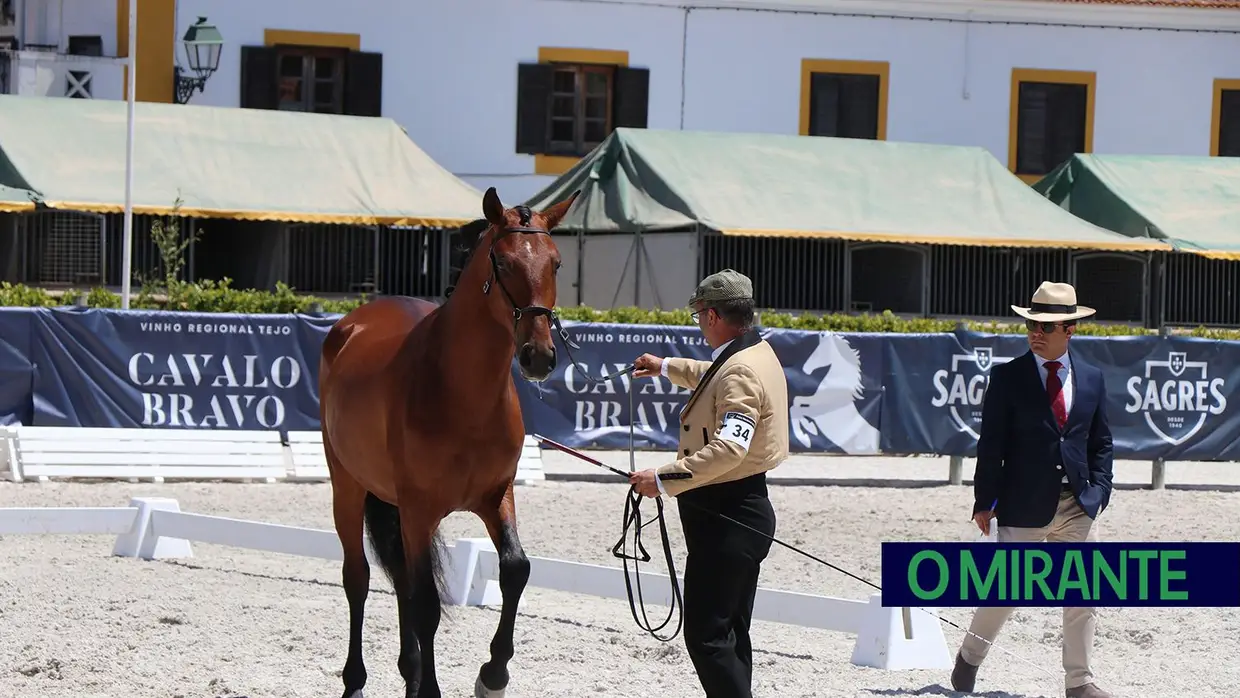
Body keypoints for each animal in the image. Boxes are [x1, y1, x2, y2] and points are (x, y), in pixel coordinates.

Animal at [322, 187, 582, 698]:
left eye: (557, 263)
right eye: (503, 262)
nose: (539, 357)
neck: (463, 395)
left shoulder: (496, 495)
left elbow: (515, 570)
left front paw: (493, 675)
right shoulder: (419, 509)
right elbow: (425, 603)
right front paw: (434, 689)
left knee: (401, 579)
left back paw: (409, 673)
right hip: (349, 487)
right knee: (358, 578)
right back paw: (356, 682)